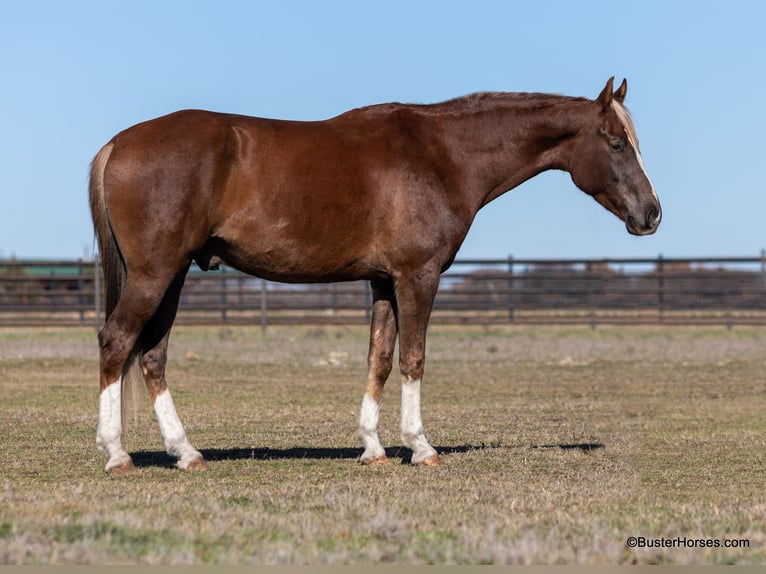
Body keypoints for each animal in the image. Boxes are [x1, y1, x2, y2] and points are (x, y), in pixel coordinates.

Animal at [90, 76, 664, 474]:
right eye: (616, 143)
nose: (652, 214)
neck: (443, 155)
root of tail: (117, 143)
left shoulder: (384, 281)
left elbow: (380, 359)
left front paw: (372, 448)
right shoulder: (418, 276)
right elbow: (413, 358)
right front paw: (420, 446)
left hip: (172, 276)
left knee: (152, 355)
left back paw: (186, 452)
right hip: (155, 274)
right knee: (117, 341)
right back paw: (117, 454)